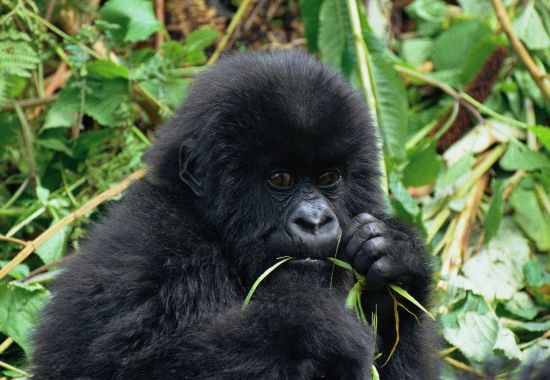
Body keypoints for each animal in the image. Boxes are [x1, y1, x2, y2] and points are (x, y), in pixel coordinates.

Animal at [33, 51, 440, 380]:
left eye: (328, 178)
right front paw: (311, 325)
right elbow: (128, 367)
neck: (214, 233)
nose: (315, 220)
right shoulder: (156, 255)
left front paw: (396, 261)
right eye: (280, 179)